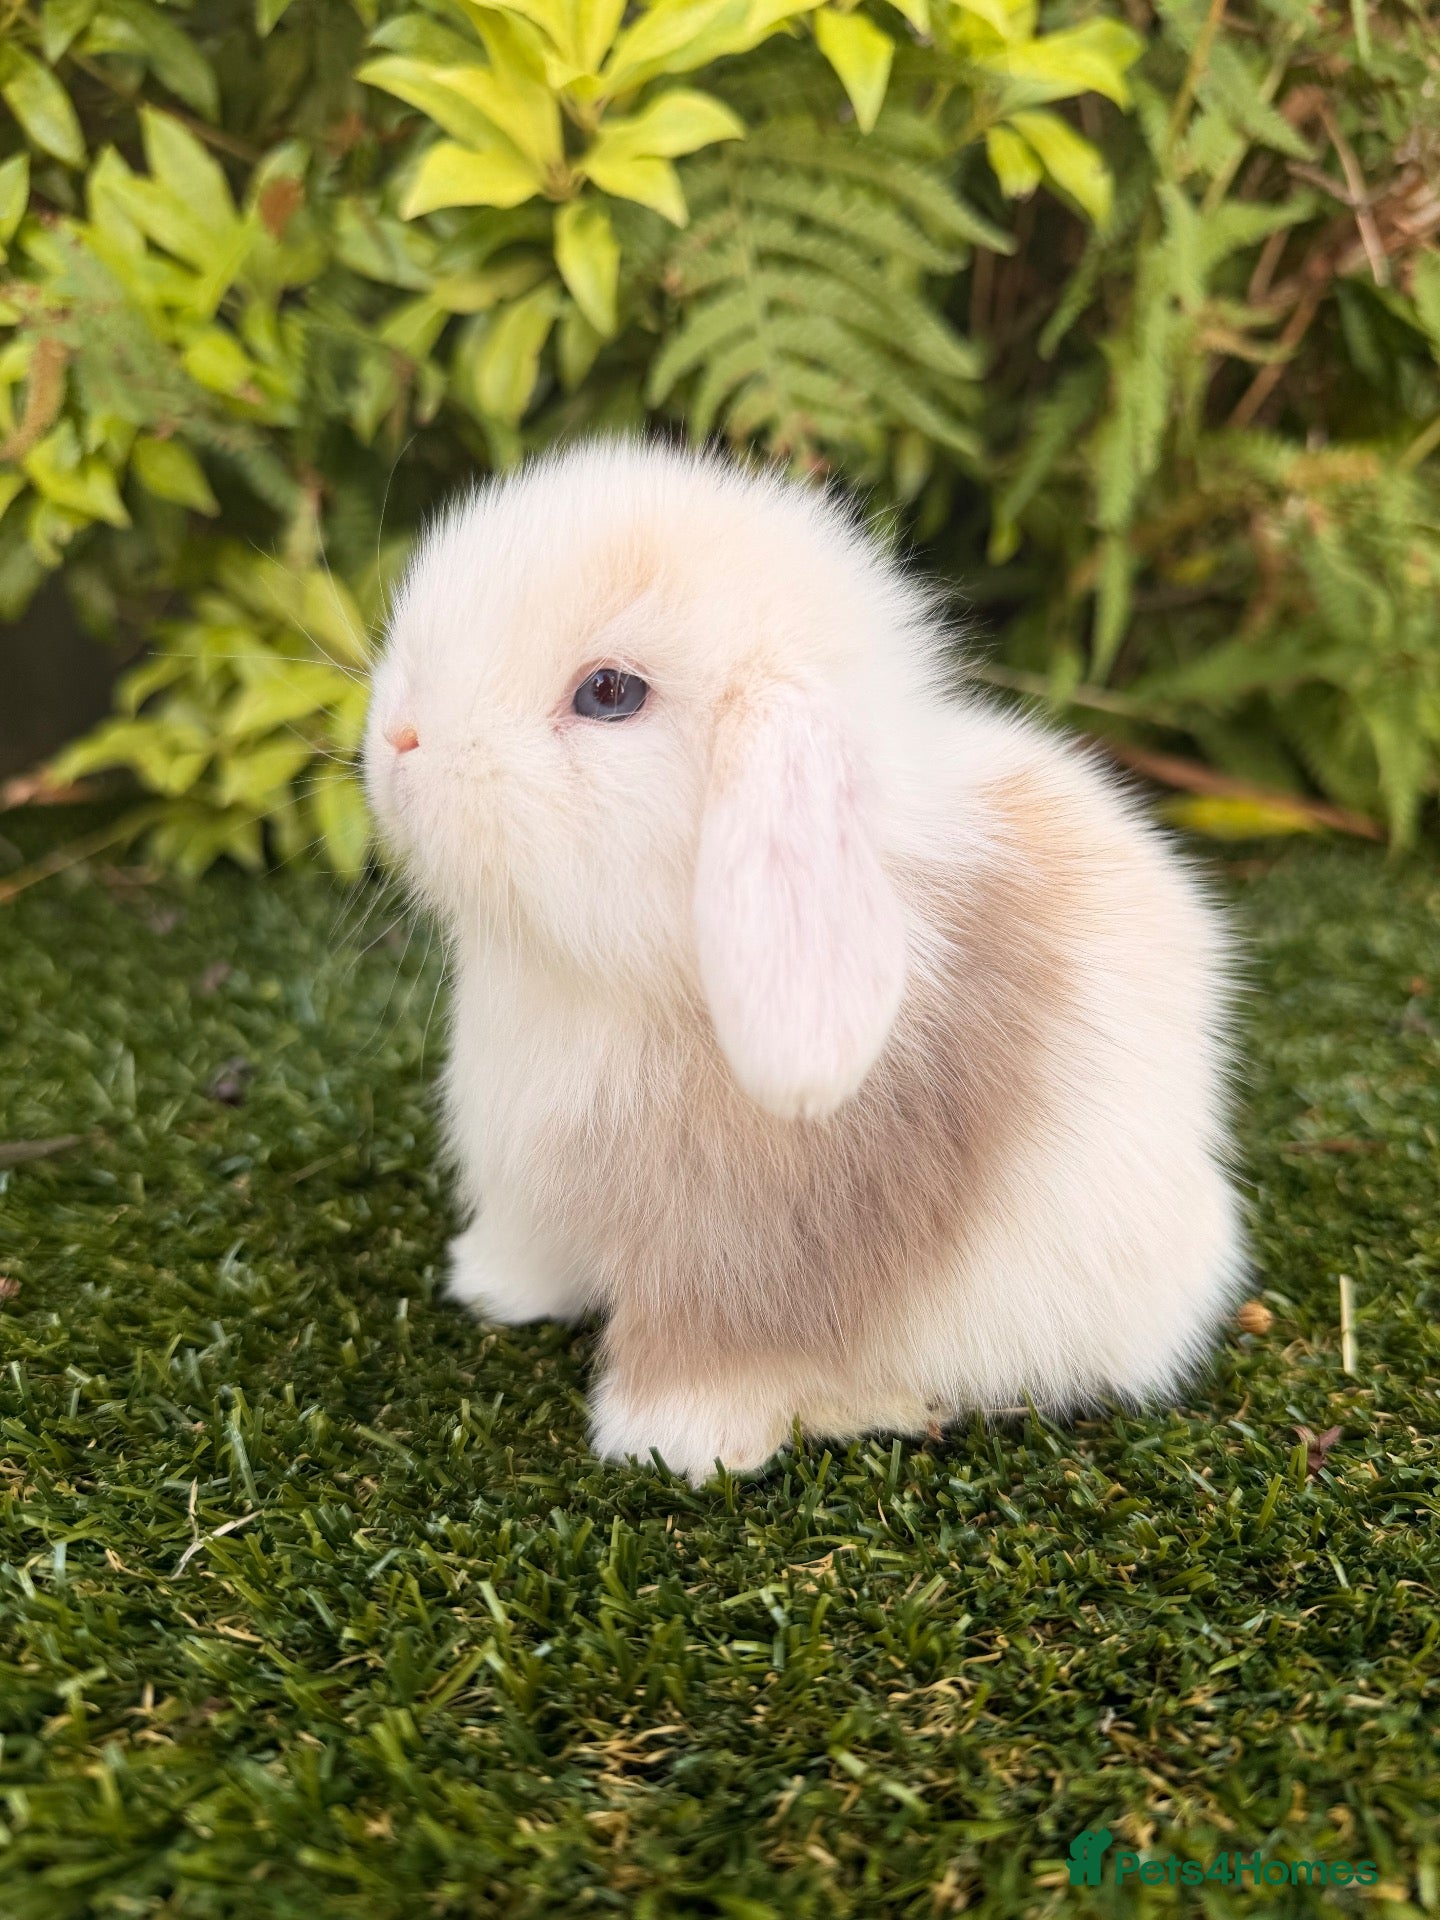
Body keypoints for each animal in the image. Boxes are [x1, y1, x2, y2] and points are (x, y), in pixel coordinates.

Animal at [363, 438, 1245, 1487]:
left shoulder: (746, 1247)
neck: (622, 980)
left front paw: (668, 1441)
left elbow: (717, 1341)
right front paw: (492, 1288)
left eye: (609, 693)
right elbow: (535, 1253)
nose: (398, 736)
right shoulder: (534, 1190)